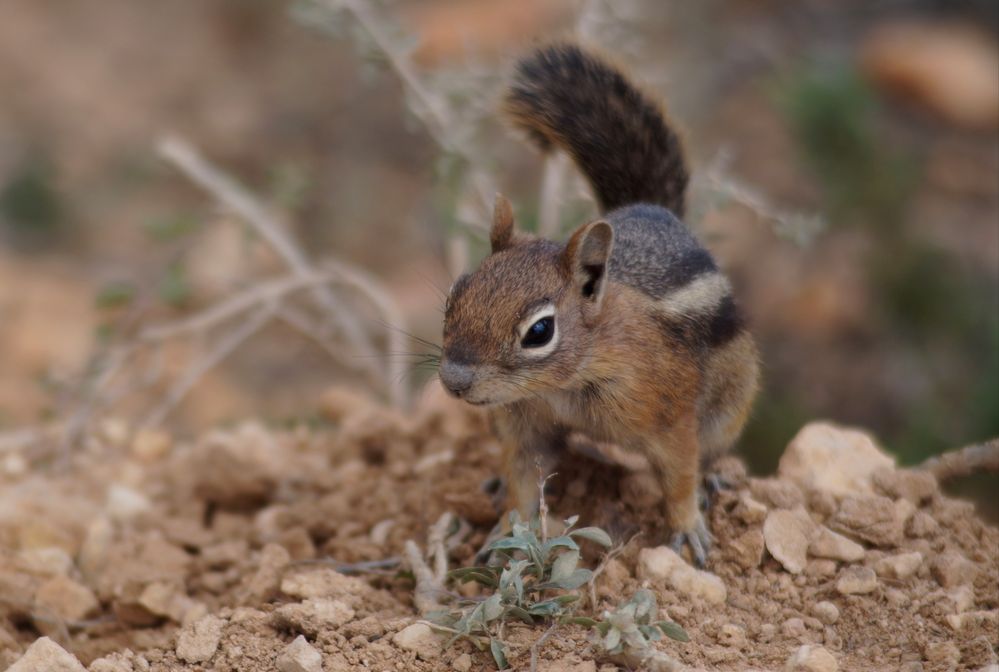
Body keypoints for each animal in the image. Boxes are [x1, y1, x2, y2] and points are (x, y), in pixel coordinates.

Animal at [438, 43, 756, 568]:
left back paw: (714, 476)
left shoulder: (670, 419)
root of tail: (653, 210)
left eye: (539, 331)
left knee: (712, 449)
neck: (561, 386)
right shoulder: (523, 428)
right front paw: (506, 534)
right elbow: (522, 482)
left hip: (729, 404)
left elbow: (679, 476)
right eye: (454, 295)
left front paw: (688, 526)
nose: (454, 381)